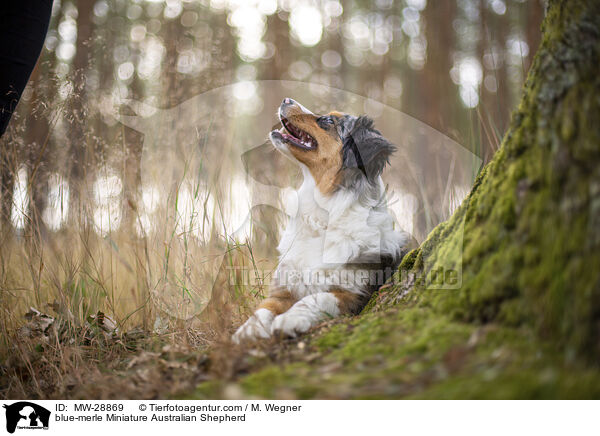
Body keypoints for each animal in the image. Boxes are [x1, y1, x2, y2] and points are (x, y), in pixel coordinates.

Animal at [232, 99, 410, 344]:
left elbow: (315, 298)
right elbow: (263, 309)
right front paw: (248, 330)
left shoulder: (352, 293)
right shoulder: (283, 288)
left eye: (327, 120)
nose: (286, 100)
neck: (323, 214)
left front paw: (290, 319)